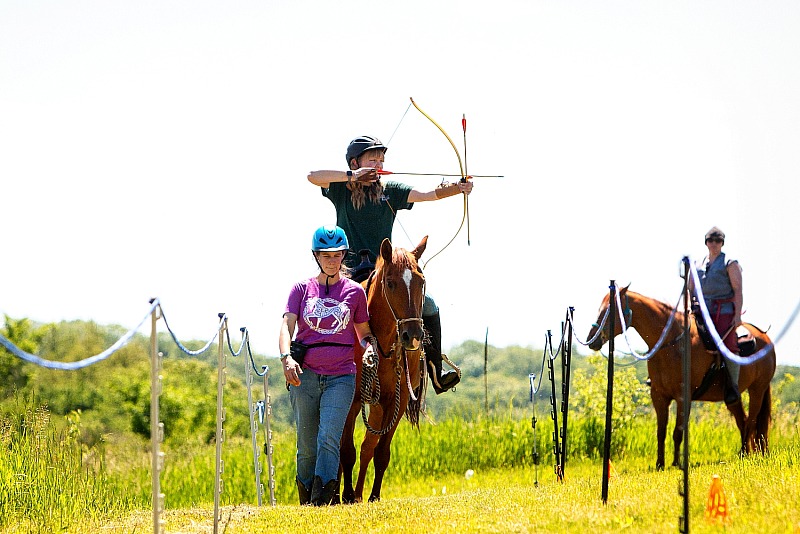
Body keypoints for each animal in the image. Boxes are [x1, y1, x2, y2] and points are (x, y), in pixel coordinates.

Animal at [340, 237, 428, 504]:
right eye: (390, 283)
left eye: (421, 281)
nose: (413, 335)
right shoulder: (352, 399)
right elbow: (346, 450)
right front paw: (346, 495)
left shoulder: (396, 401)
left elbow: (380, 452)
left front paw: (373, 496)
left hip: (377, 406)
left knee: (368, 445)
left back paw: (359, 494)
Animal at [584, 286, 780, 472]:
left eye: (611, 309)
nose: (592, 340)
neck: (671, 343)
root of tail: (765, 338)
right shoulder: (659, 397)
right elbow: (661, 432)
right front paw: (660, 464)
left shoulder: (682, 397)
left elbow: (677, 432)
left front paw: (676, 462)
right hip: (733, 397)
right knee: (743, 420)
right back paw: (747, 453)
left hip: (757, 390)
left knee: (752, 421)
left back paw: (748, 453)